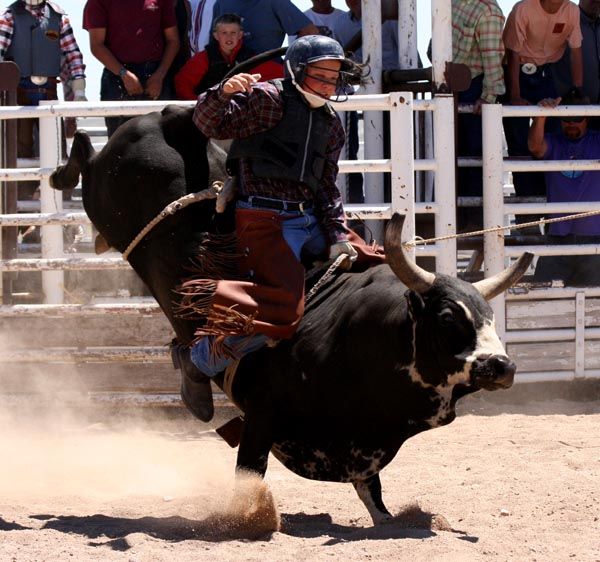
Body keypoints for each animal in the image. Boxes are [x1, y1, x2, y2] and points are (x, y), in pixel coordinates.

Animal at [49, 106, 532, 524]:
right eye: (449, 318)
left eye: (490, 317)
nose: (502, 365)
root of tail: (173, 118)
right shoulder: (261, 417)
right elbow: (249, 475)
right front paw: (248, 520)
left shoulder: (364, 445)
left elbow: (373, 494)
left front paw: (389, 518)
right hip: (103, 195)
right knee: (85, 160)